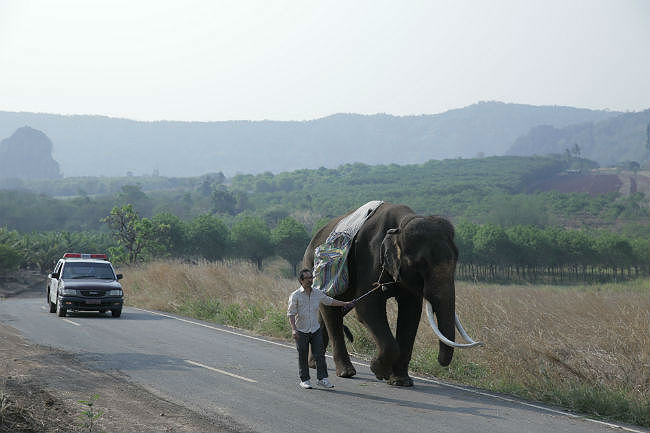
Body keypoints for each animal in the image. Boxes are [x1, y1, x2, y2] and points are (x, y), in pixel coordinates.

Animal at [302, 201, 478, 386]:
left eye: (456, 260)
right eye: (421, 263)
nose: (439, 361)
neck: (401, 224)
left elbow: (411, 313)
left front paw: (401, 381)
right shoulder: (369, 256)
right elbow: (367, 308)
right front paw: (379, 371)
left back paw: (315, 364)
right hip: (315, 269)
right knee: (331, 309)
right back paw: (346, 372)